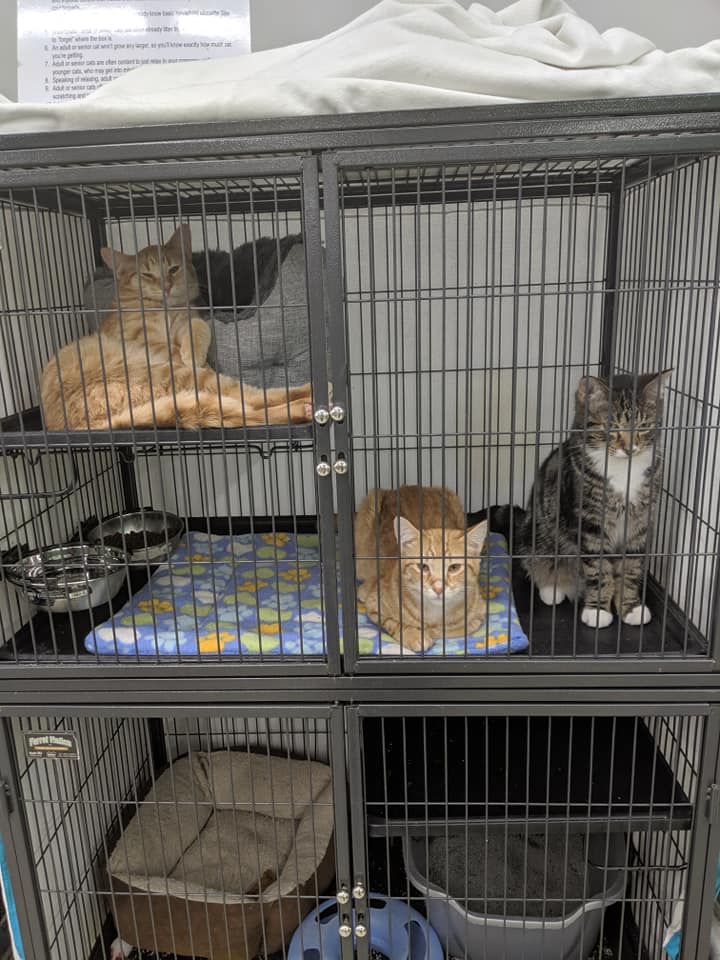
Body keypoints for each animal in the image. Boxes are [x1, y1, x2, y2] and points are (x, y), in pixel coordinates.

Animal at [40, 225, 313, 430]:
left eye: (173, 268)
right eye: (147, 275)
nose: (166, 286)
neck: (165, 309)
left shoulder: (186, 320)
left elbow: (198, 326)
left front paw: (194, 352)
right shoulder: (139, 339)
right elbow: (169, 346)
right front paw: (193, 357)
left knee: (248, 408)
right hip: (174, 375)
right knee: (251, 401)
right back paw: (309, 399)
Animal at [354, 485, 488, 652]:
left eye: (454, 567)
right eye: (422, 566)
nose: (438, 588)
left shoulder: (479, 612)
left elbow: (464, 626)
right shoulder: (374, 604)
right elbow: (393, 623)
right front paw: (414, 635)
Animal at [519, 371, 671, 629]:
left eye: (644, 427)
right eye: (612, 428)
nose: (630, 449)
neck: (624, 470)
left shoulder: (640, 522)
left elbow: (631, 566)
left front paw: (630, 607)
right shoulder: (590, 522)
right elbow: (598, 569)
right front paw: (598, 610)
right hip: (538, 534)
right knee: (540, 562)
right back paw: (553, 587)